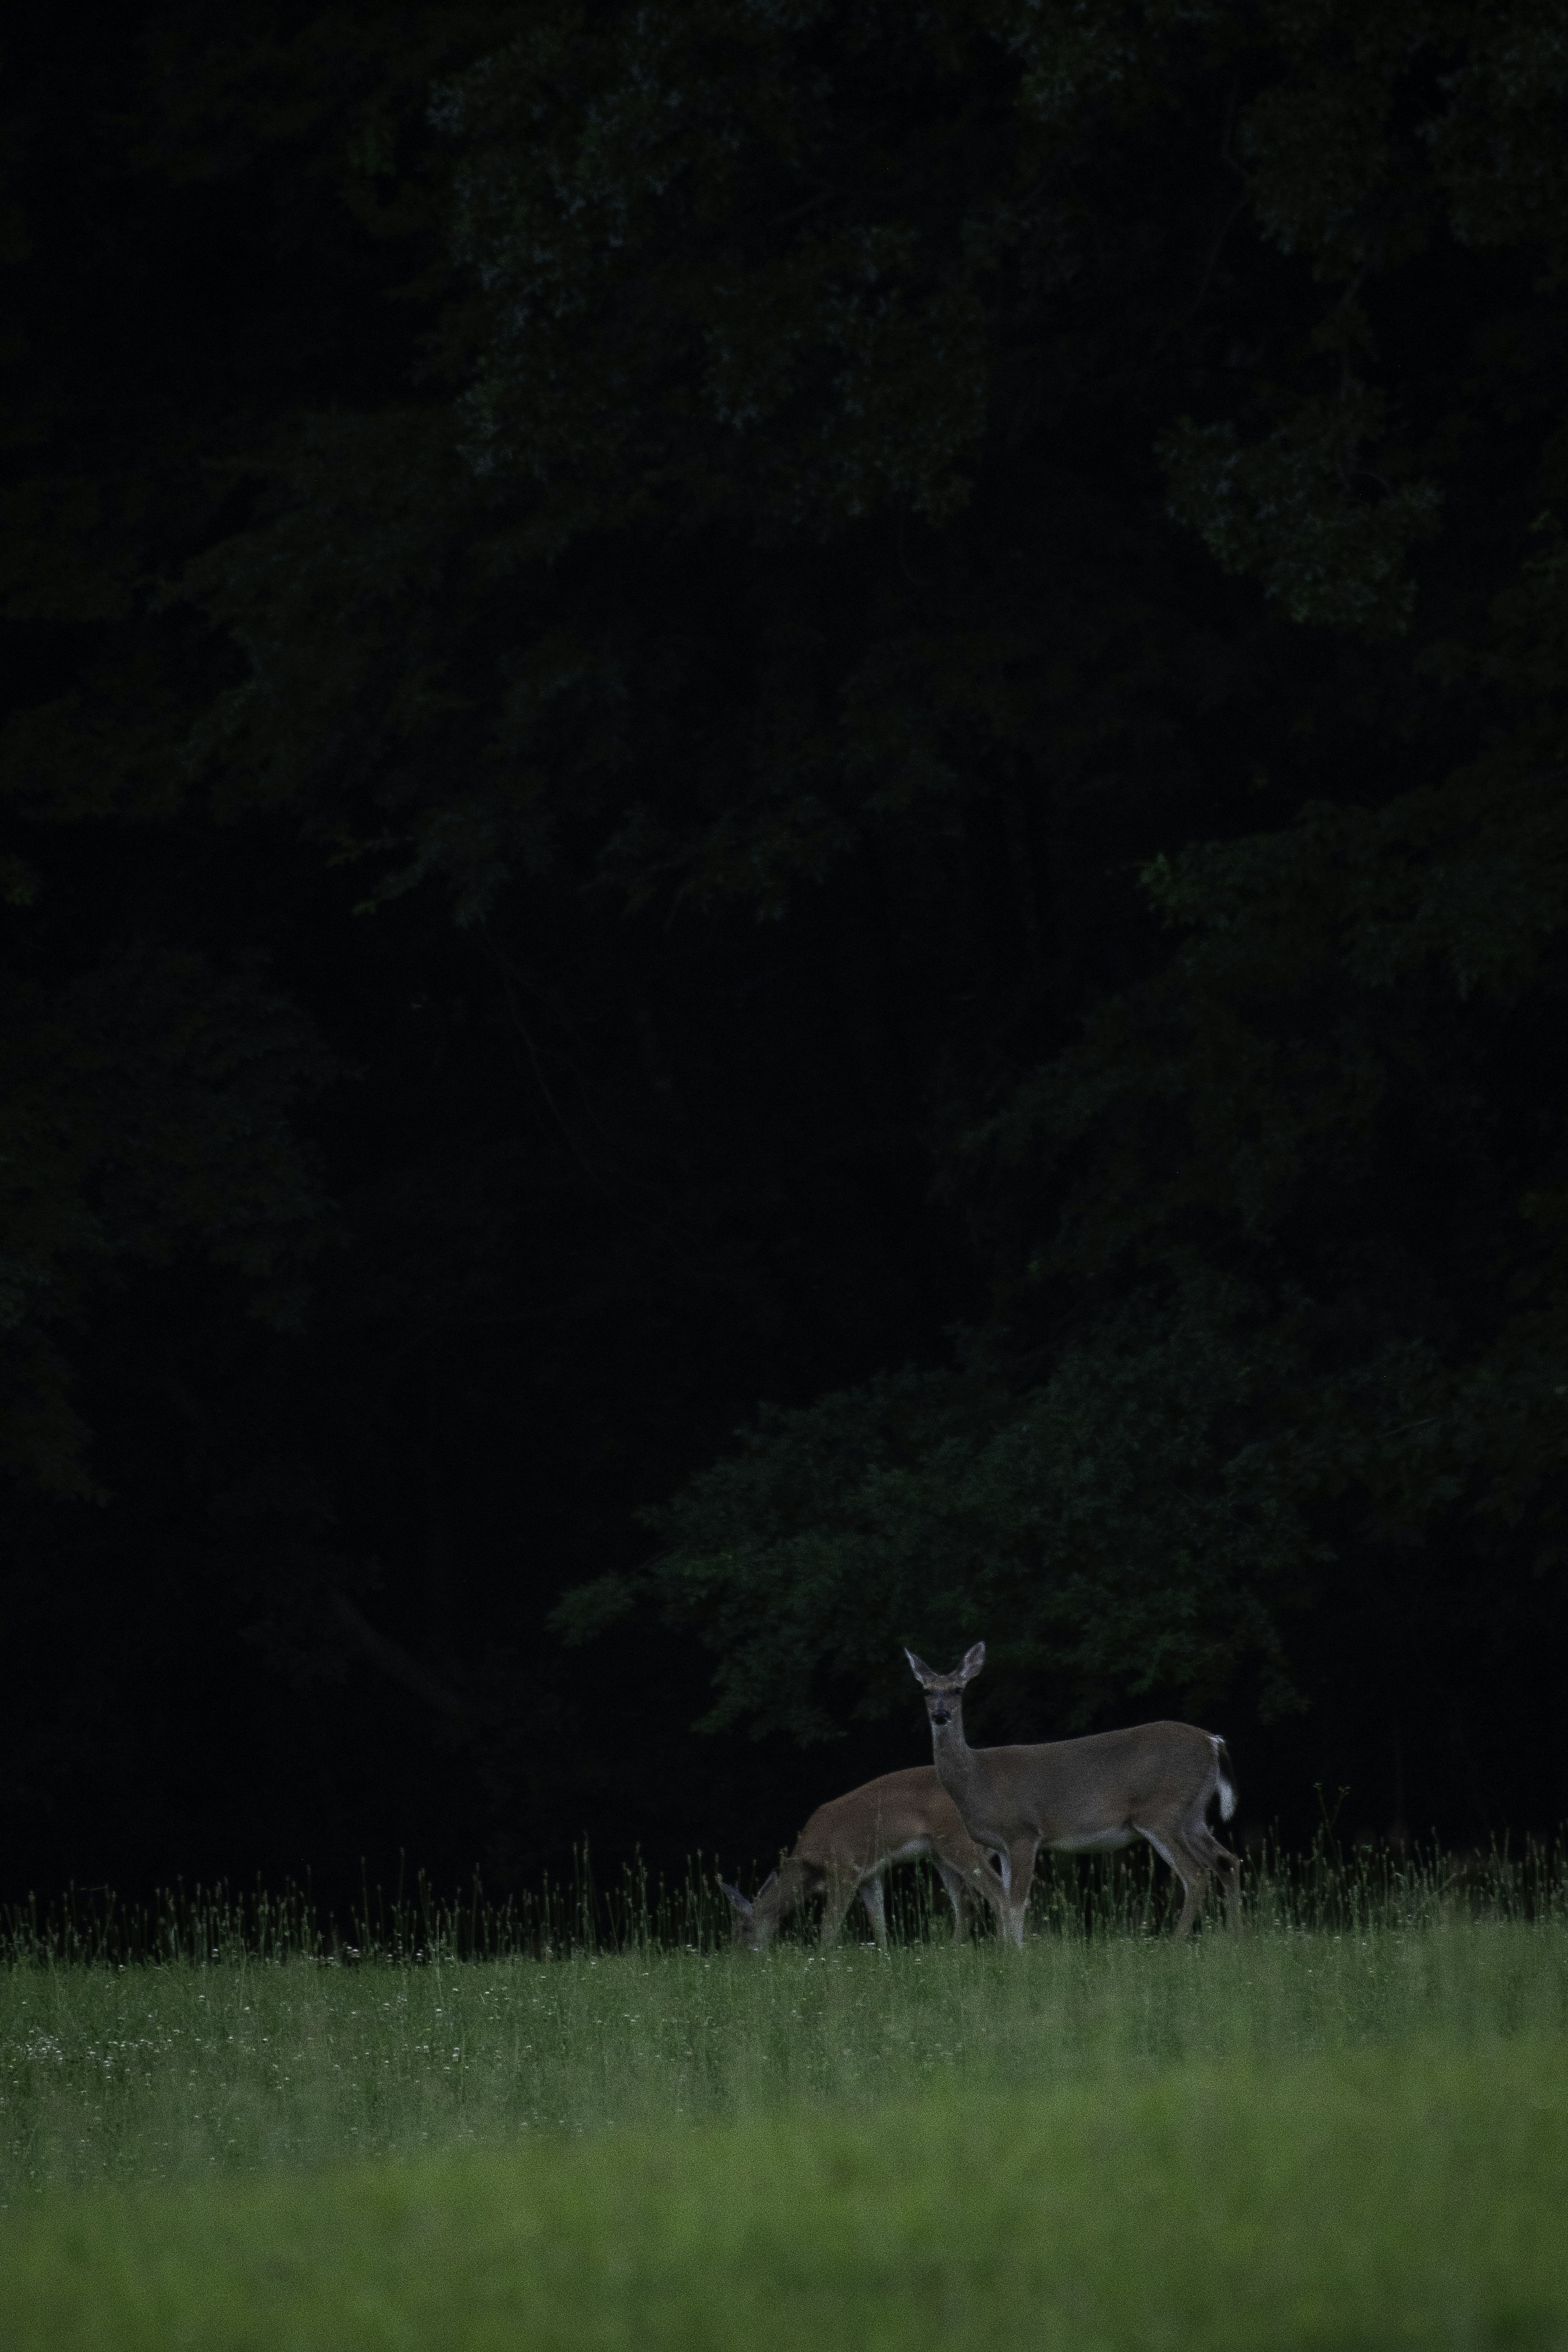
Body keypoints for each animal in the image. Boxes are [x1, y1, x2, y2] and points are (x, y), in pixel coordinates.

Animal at [721, 1764, 1008, 1951]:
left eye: (744, 1929)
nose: (739, 1958)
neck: (809, 1866)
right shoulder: (869, 1876)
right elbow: (878, 1923)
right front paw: (885, 1962)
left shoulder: (844, 1868)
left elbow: (829, 1926)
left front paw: (822, 1965)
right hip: (939, 1854)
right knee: (968, 1904)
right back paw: (951, 1952)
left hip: (958, 1839)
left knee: (996, 1894)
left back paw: (1002, 1951)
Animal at [905, 1642, 1240, 1947]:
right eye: (926, 1692)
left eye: (958, 1690)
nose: (941, 1715)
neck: (976, 1780)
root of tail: (1213, 1741)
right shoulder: (1003, 1845)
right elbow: (1005, 1898)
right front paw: (1008, 1951)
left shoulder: (1024, 1832)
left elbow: (1016, 1901)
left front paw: (1018, 1956)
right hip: (1192, 1814)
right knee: (1228, 1861)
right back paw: (1234, 1936)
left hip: (1162, 1812)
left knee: (1197, 1874)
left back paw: (1176, 1943)